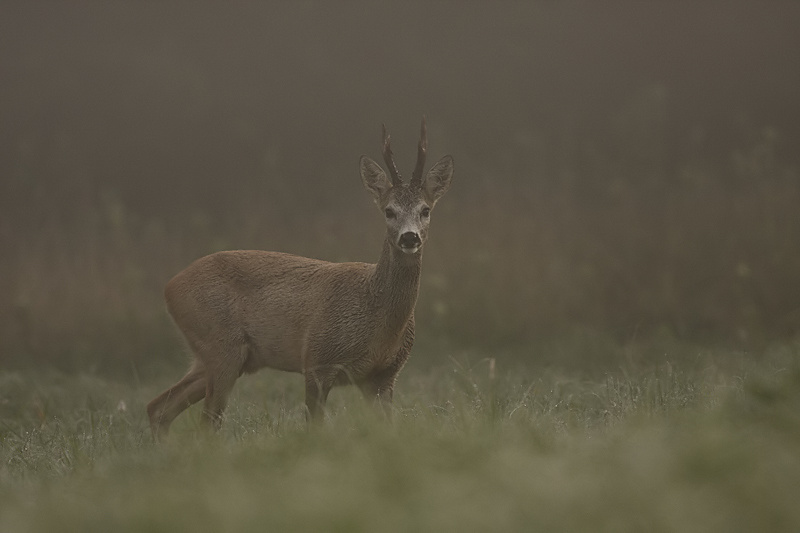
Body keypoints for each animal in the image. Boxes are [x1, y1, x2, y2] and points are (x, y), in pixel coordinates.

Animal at [147, 117, 454, 436]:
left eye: (425, 209)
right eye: (389, 211)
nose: (409, 237)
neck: (377, 318)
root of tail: (169, 287)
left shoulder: (383, 375)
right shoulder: (318, 359)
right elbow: (314, 425)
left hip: (219, 357)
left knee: (159, 407)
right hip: (221, 347)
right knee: (206, 422)